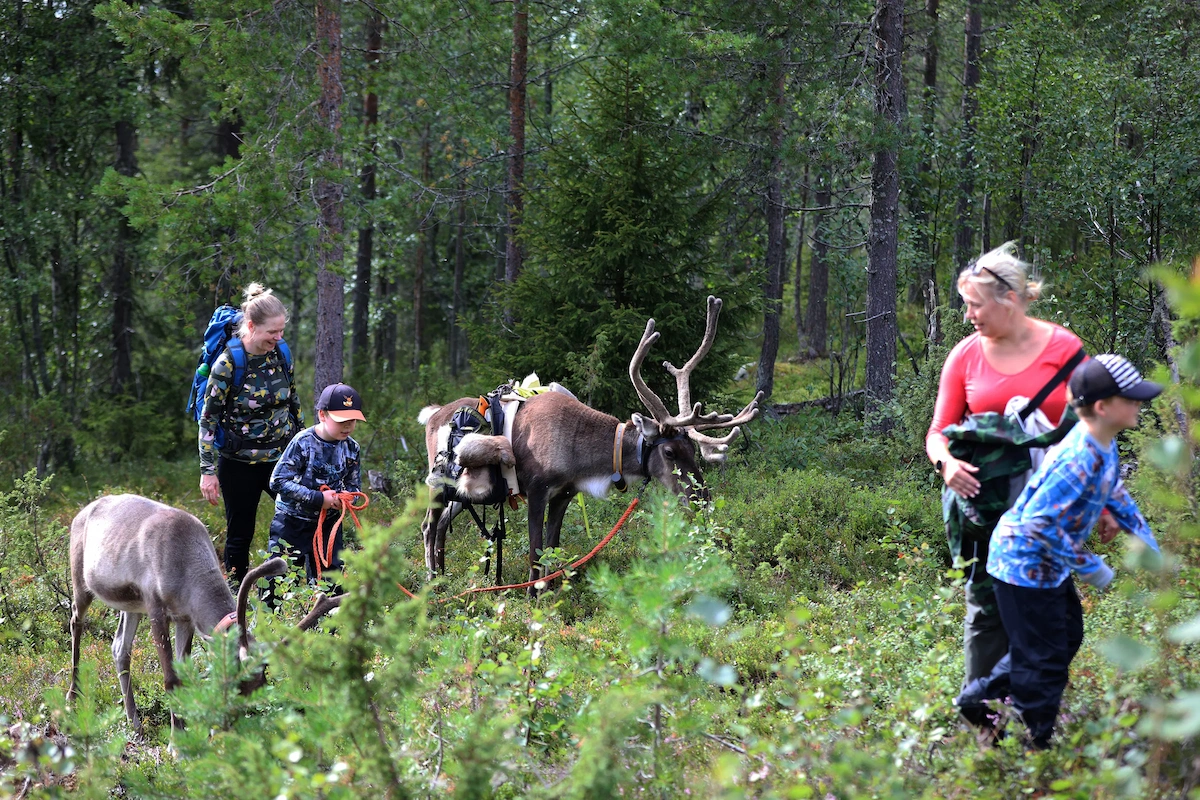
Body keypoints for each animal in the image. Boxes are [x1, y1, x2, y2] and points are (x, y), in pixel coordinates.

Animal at [66, 493, 335, 733]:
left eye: (260, 682)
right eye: (232, 680)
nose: (230, 726)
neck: (189, 573)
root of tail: (81, 512)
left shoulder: (185, 617)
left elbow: (182, 673)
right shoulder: (156, 606)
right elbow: (171, 679)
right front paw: (177, 743)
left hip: (131, 605)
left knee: (120, 648)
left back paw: (134, 722)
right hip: (81, 581)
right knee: (75, 620)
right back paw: (72, 696)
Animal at [419, 295, 761, 589]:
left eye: (692, 449)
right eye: (668, 450)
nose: (701, 497)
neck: (582, 460)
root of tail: (433, 413)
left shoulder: (564, 494)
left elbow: (552, 549)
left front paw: (547, 594)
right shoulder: (537, 490)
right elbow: (535, 553)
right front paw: (531, 598)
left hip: (463, 492)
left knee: (441, 525)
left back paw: (444, 575)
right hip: (437, 481)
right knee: (428, 526)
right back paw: (432, 582)